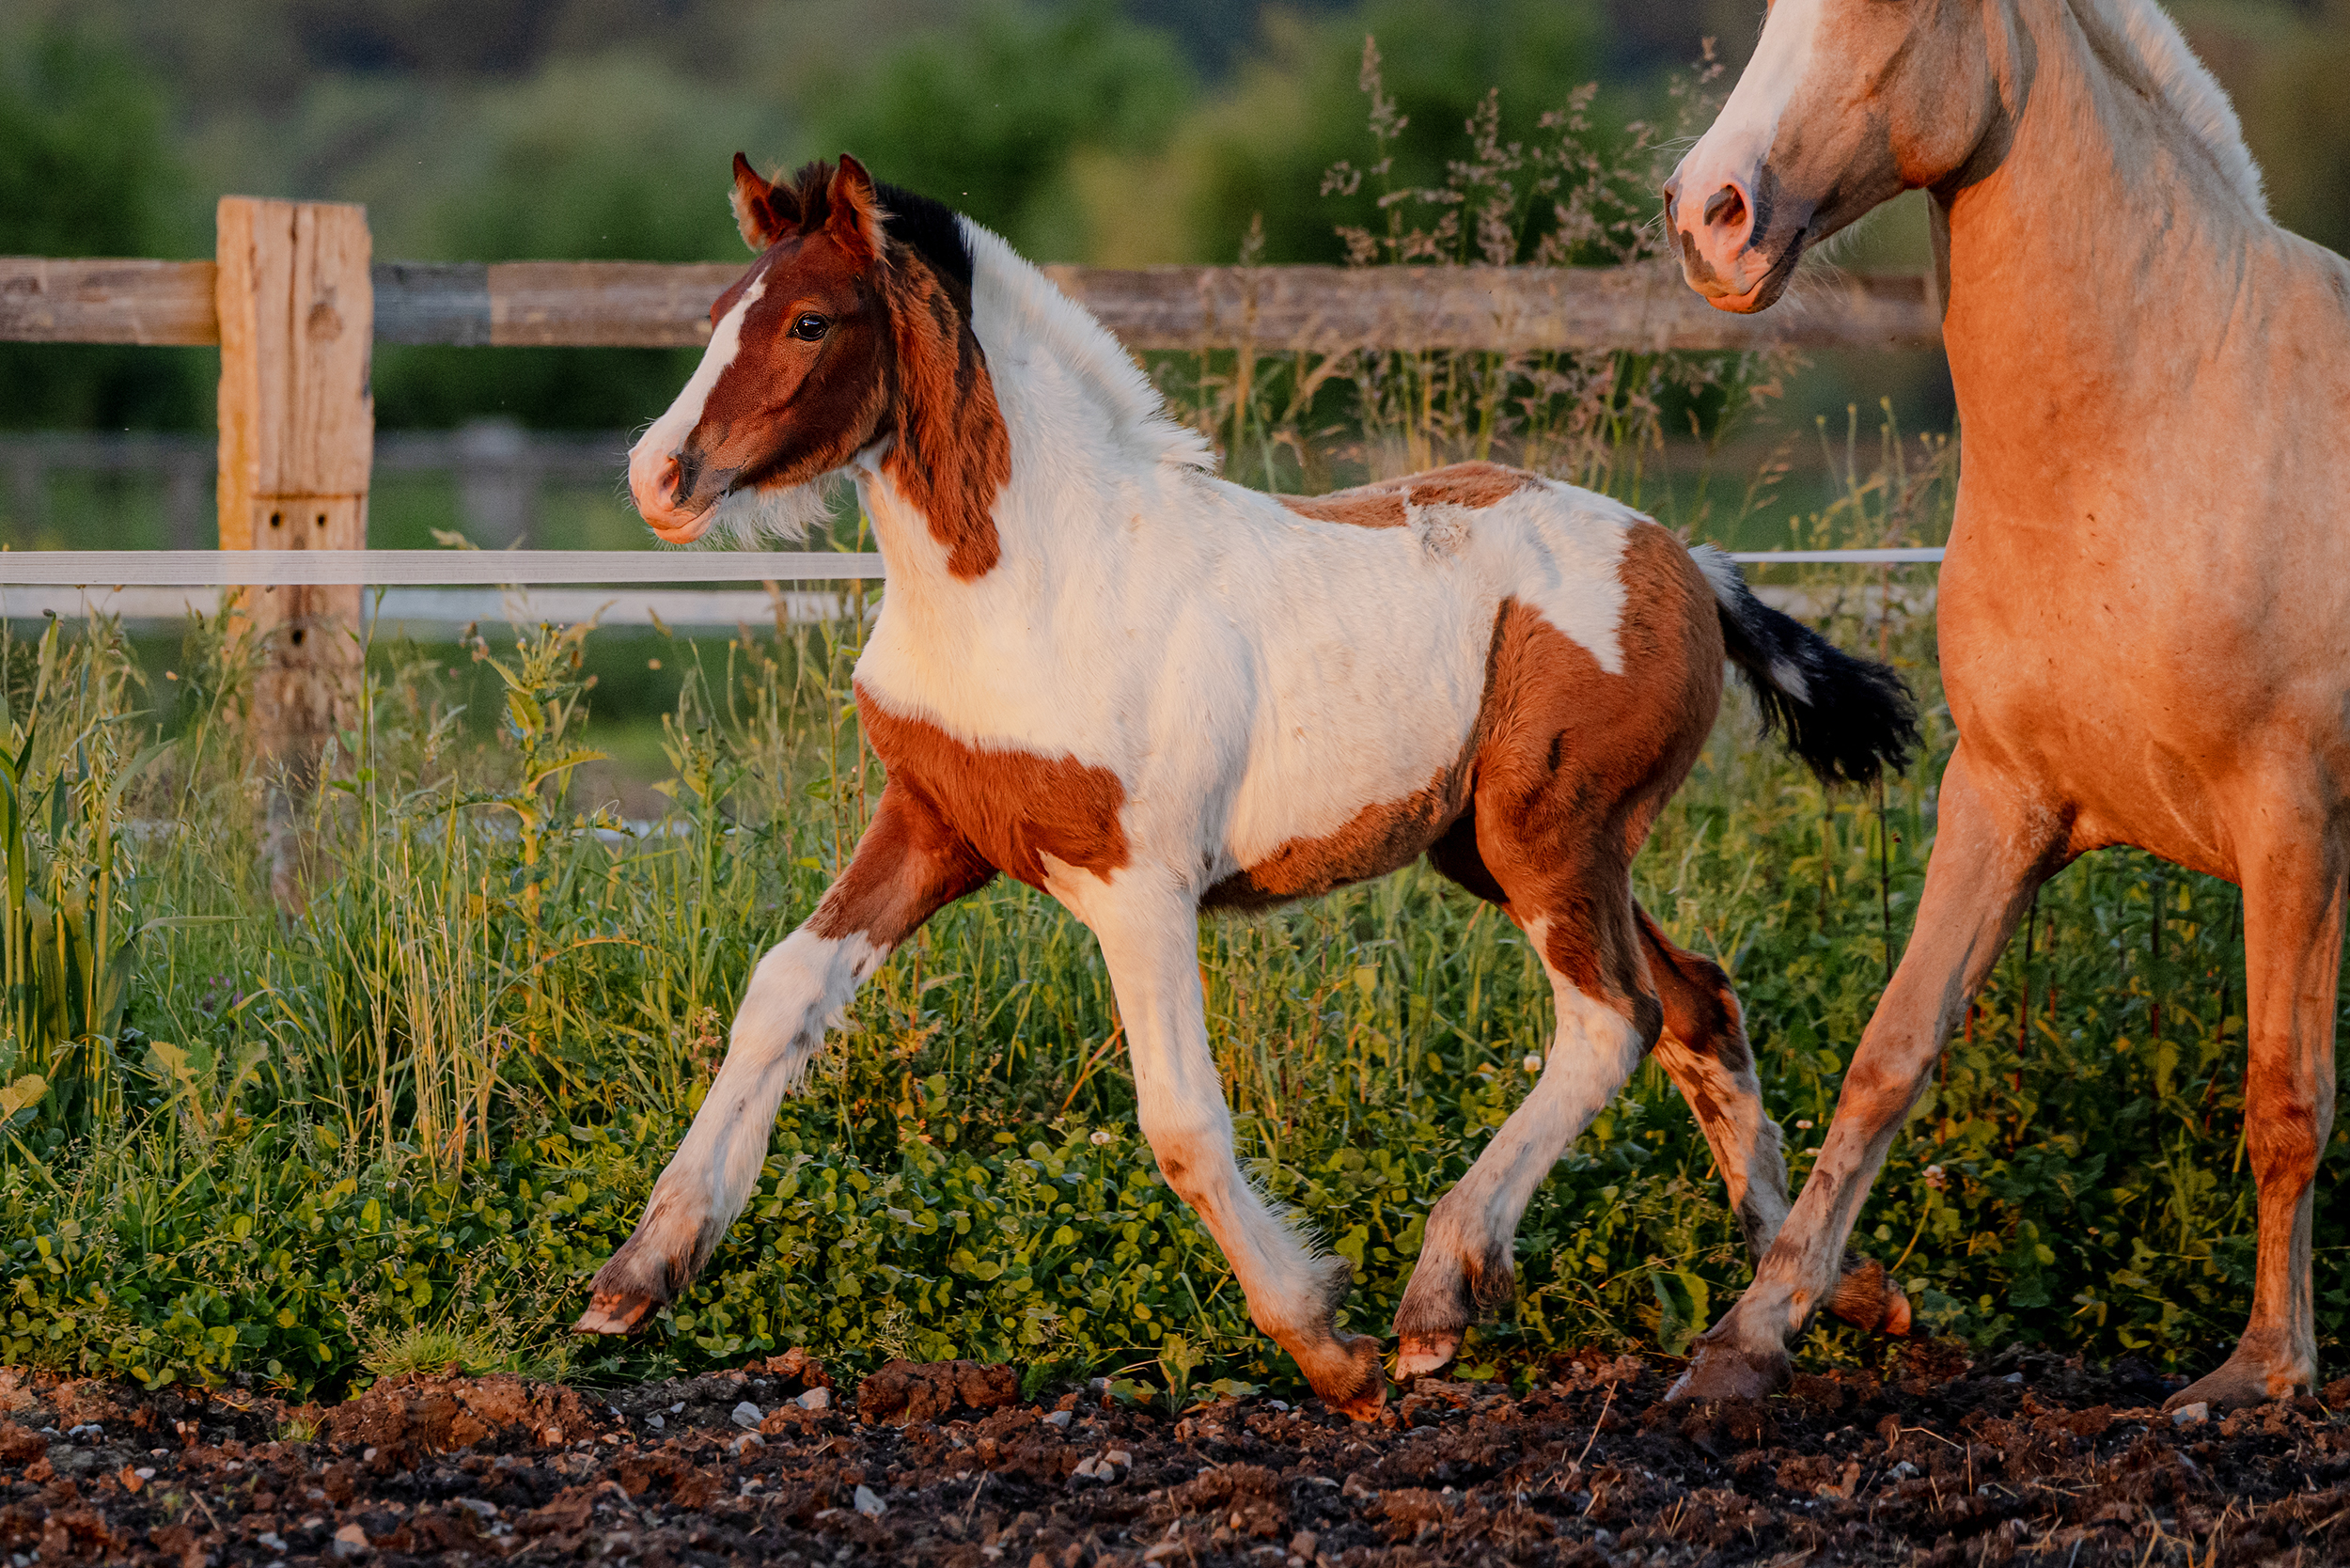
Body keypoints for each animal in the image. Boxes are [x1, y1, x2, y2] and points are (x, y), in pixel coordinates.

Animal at [578, 152, 1918, 1419]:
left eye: (809, 321)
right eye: (717, 310)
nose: (657, 477)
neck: (1031, 579)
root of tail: (1687, 559)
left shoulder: (1138, 884)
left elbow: (1178, 1122)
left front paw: (1326, 1347)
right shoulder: (934, 825)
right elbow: (779, 993)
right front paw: (634, 1280)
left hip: (1550, 837)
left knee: (1611, 1021)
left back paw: (1439, 1299)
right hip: (1508, 849)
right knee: (1696, 1000)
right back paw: (1827, 1288)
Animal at [1664, 0, 2350, 1410]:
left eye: (1892, 9)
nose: (1710, 216)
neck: (2153, 425)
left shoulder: (2293, 824)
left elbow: (2282, 1098)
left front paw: (2258, 1375)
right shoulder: (1999, 801)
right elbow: (1888, 1056)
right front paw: (1749, 1342)